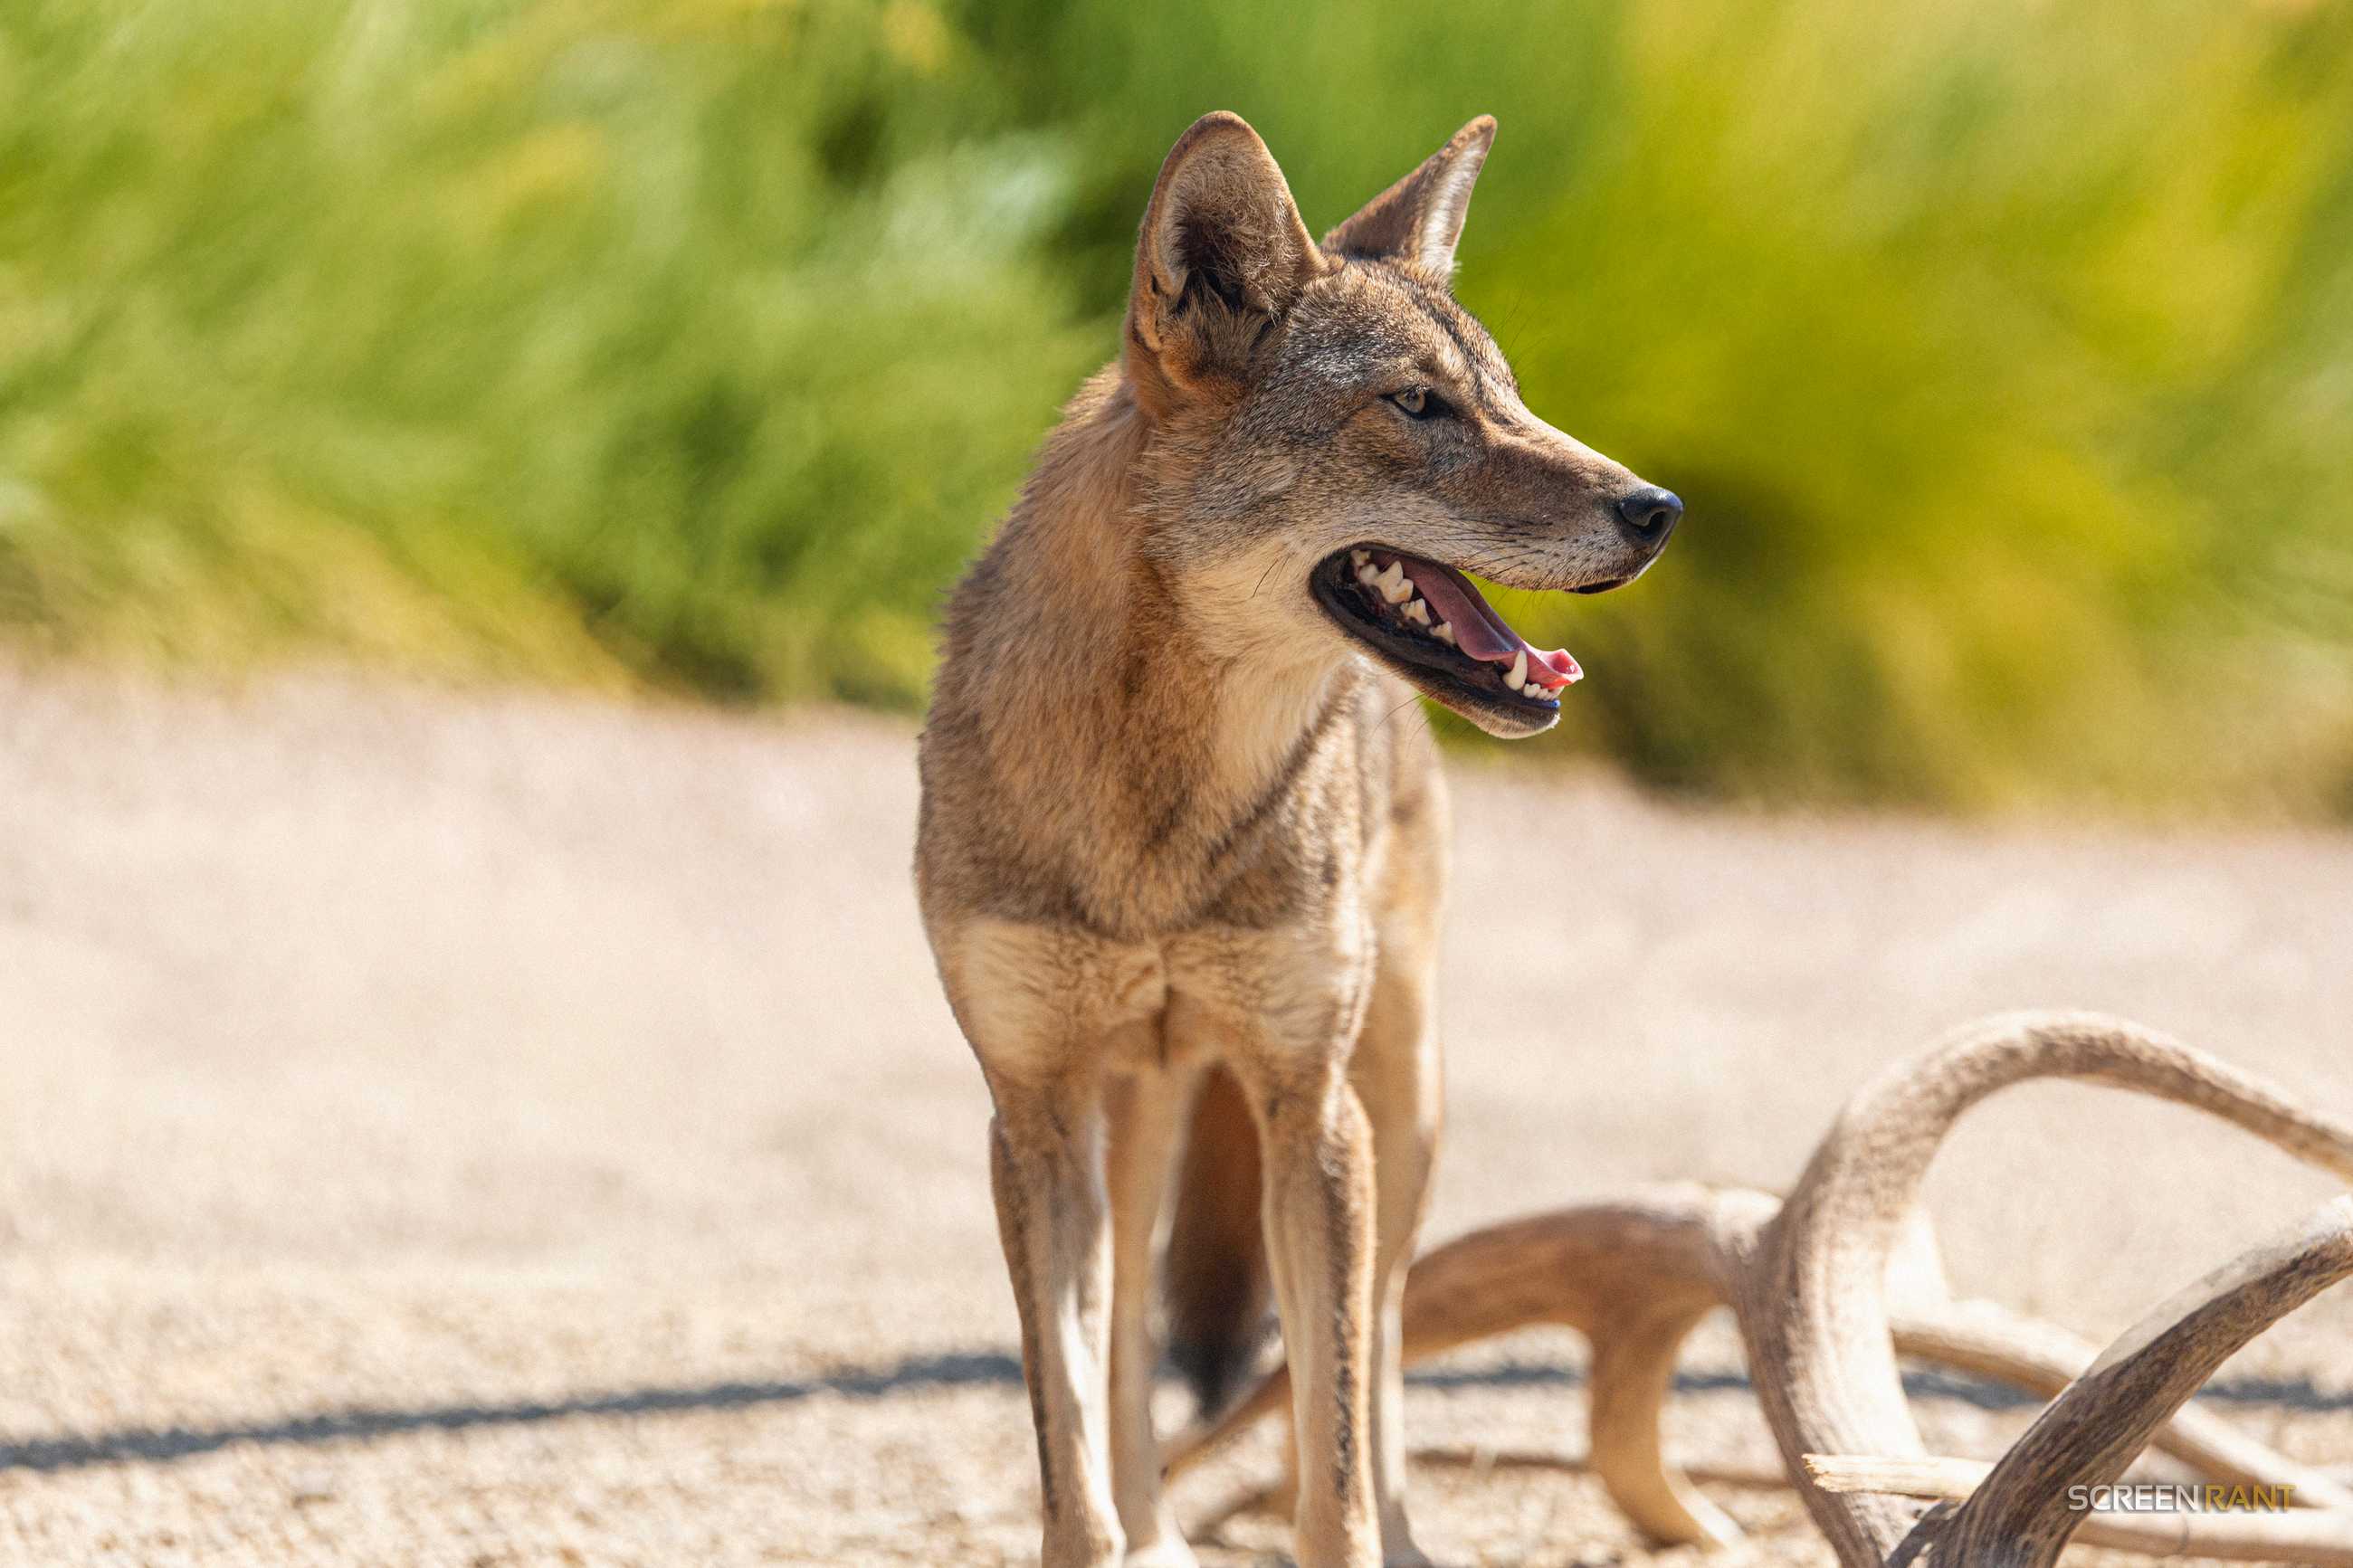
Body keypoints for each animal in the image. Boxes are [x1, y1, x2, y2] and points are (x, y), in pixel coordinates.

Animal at [915, 111, 1680, 1568]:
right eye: (1417, 406)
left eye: (1506, 395)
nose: (1658, 509)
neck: (1161, 813)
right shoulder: (1028, 1116)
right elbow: (1071, 1463)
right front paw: (1109, 1525)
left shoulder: (1306, 1107)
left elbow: (1329, 1459)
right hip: (1138, 1115)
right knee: (1131, 1344)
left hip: (1396, 1107)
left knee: (1377, 1343)